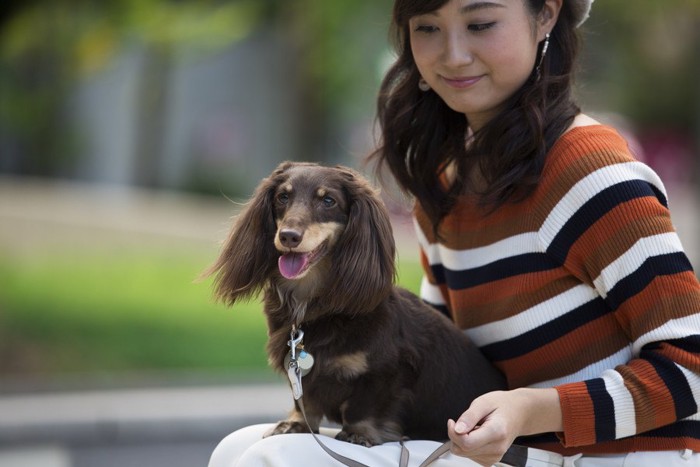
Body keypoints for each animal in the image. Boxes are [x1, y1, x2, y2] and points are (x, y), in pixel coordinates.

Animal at [205, 163, 506, 448]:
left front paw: (358, 434)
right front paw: (296, 424)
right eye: (283, 196)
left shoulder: (385, 373)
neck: (315, 306)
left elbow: (363, 408)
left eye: (328, 201)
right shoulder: (302, 374)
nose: (289, 236)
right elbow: (305, 402)